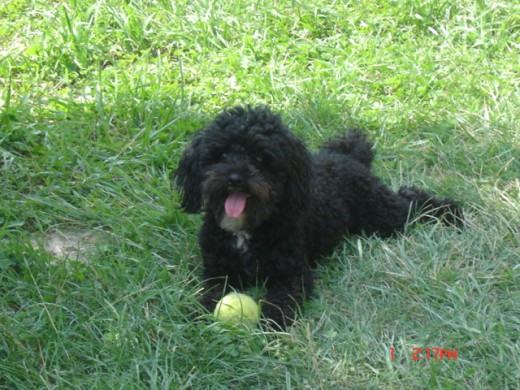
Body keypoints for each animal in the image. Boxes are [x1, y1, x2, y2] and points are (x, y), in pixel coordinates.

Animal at [175, 105, 464, 328]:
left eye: (260, 158)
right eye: (221, 153)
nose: (234, 178)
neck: (248, 229)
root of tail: (345, 155)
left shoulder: (292, 275)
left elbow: (281, 302)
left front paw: (269, 323)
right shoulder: (216, 272)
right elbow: (208, 294)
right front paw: (199, 314)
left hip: (384, 217)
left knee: (410, 200)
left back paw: (450, 211)